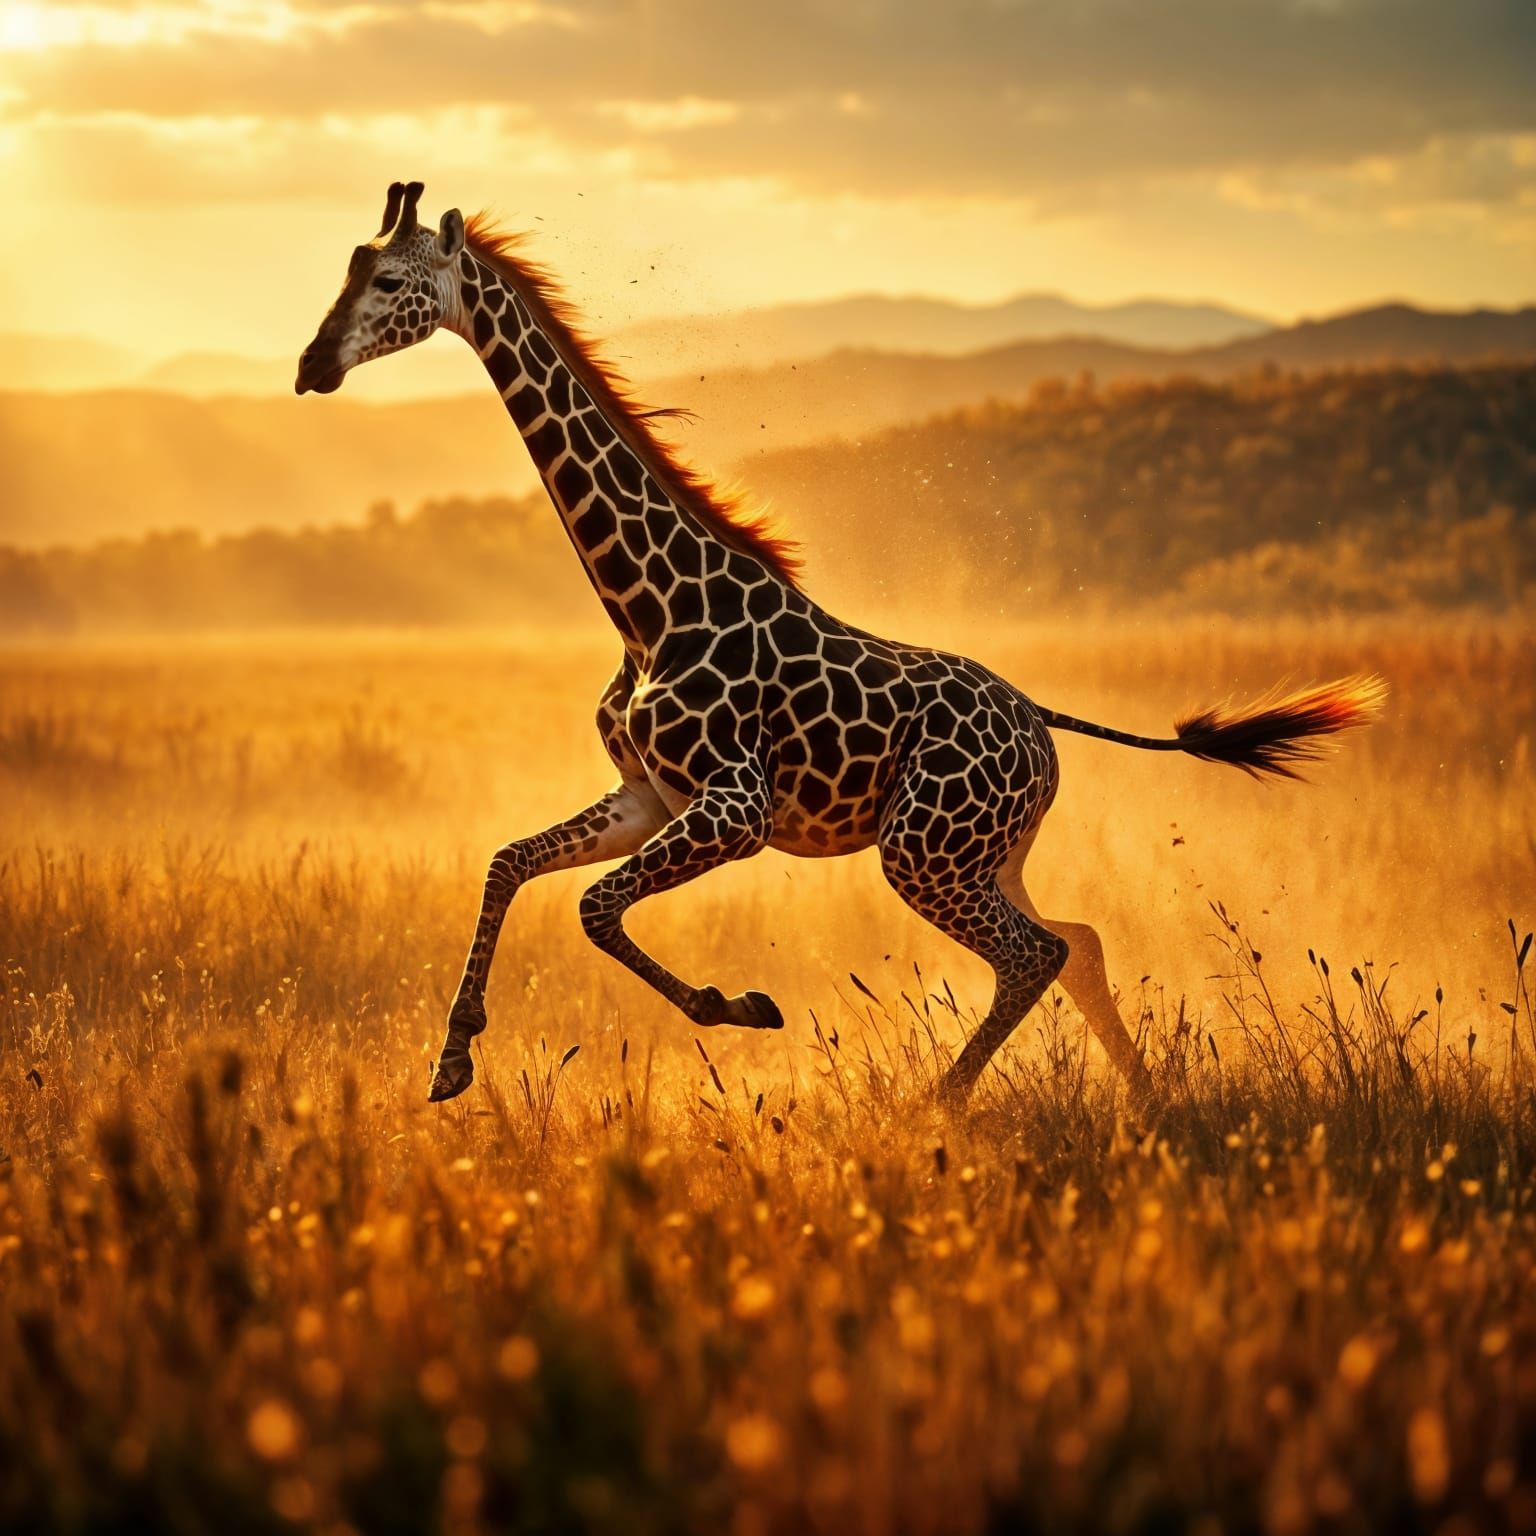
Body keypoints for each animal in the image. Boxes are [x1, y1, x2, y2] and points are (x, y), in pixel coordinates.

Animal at [296, 182, 1385, 1107]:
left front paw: (738, 1006)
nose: (312, 367)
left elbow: (594, 909)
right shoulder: (648, 794)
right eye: (345, 269)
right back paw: (1147, 1099)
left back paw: (935, 1106)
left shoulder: (734, 808)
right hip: (985, 853)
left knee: (1035, 954)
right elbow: (508, 863)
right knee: (1076, 938)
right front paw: (450, 1059)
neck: (649, 608)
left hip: (925, 851)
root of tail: (1038, 724)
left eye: (388, 284)